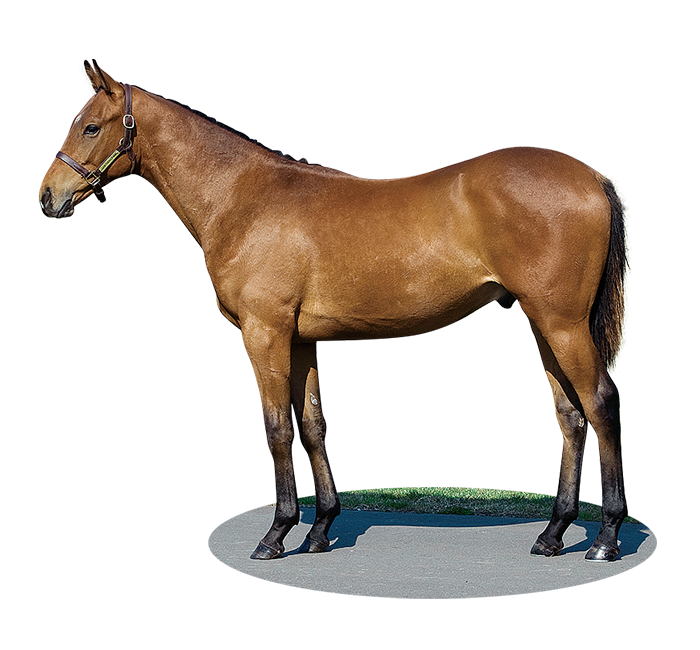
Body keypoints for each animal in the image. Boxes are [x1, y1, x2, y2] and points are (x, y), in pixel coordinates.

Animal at [39, 61, 631, 562]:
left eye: (91, 128)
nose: (48, 196)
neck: (244, 199)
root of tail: (592, 178)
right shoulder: (301, 339)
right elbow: (312, 425)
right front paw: (320, 530)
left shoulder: (264, 333)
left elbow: (277, 425)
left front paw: (277, 534)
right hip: (542, 324)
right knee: (570, 415)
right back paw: (553, 534)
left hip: (563, 324)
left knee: (600, 404)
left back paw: (605, 537)